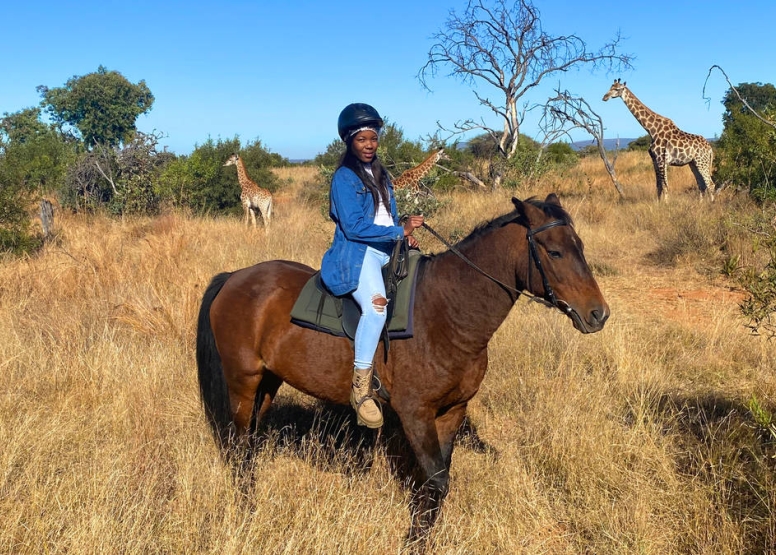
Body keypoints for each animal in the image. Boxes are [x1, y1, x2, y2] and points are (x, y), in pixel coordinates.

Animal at [197, 193, 608, 548]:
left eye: (580, 247)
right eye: (554, 252)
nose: (598, 314)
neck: (447, 310)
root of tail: (234, 277)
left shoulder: (451, 412)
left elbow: (437, 480)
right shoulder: (415, 413)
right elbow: (436, 480)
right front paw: (415, 541)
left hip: (268, 383)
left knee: (250, 441)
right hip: (243, 382)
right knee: (237, 445)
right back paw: (247, 508)